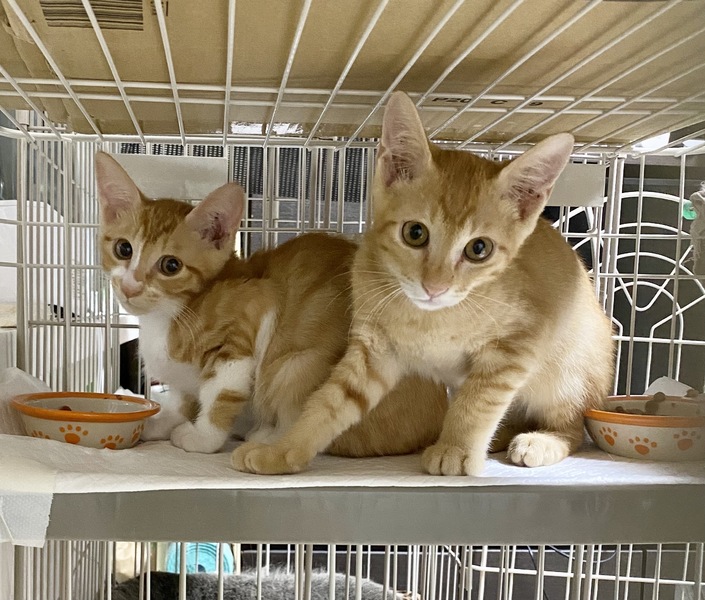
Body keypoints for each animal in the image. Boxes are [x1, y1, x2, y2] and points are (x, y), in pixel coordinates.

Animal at [95, 151, 447, 455]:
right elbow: (183, 396)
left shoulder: (253, 314)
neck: (169, 315)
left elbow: (220, 393)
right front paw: (163, 420)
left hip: (297, 367)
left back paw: (265, 435)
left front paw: (202, 437)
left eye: (171, 266)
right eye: (124, 249)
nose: (130, 286)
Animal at [231, 91, 615, 477]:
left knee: (573, 426)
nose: (435, 287)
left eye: (479, 249)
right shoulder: (375, 350)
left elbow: (477, 401)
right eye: (415, 233)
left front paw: (456, 449)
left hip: (567, 374)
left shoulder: (517, 347)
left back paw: (541, 441)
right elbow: (329, 402)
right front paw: (284, 450)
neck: (428, 319)